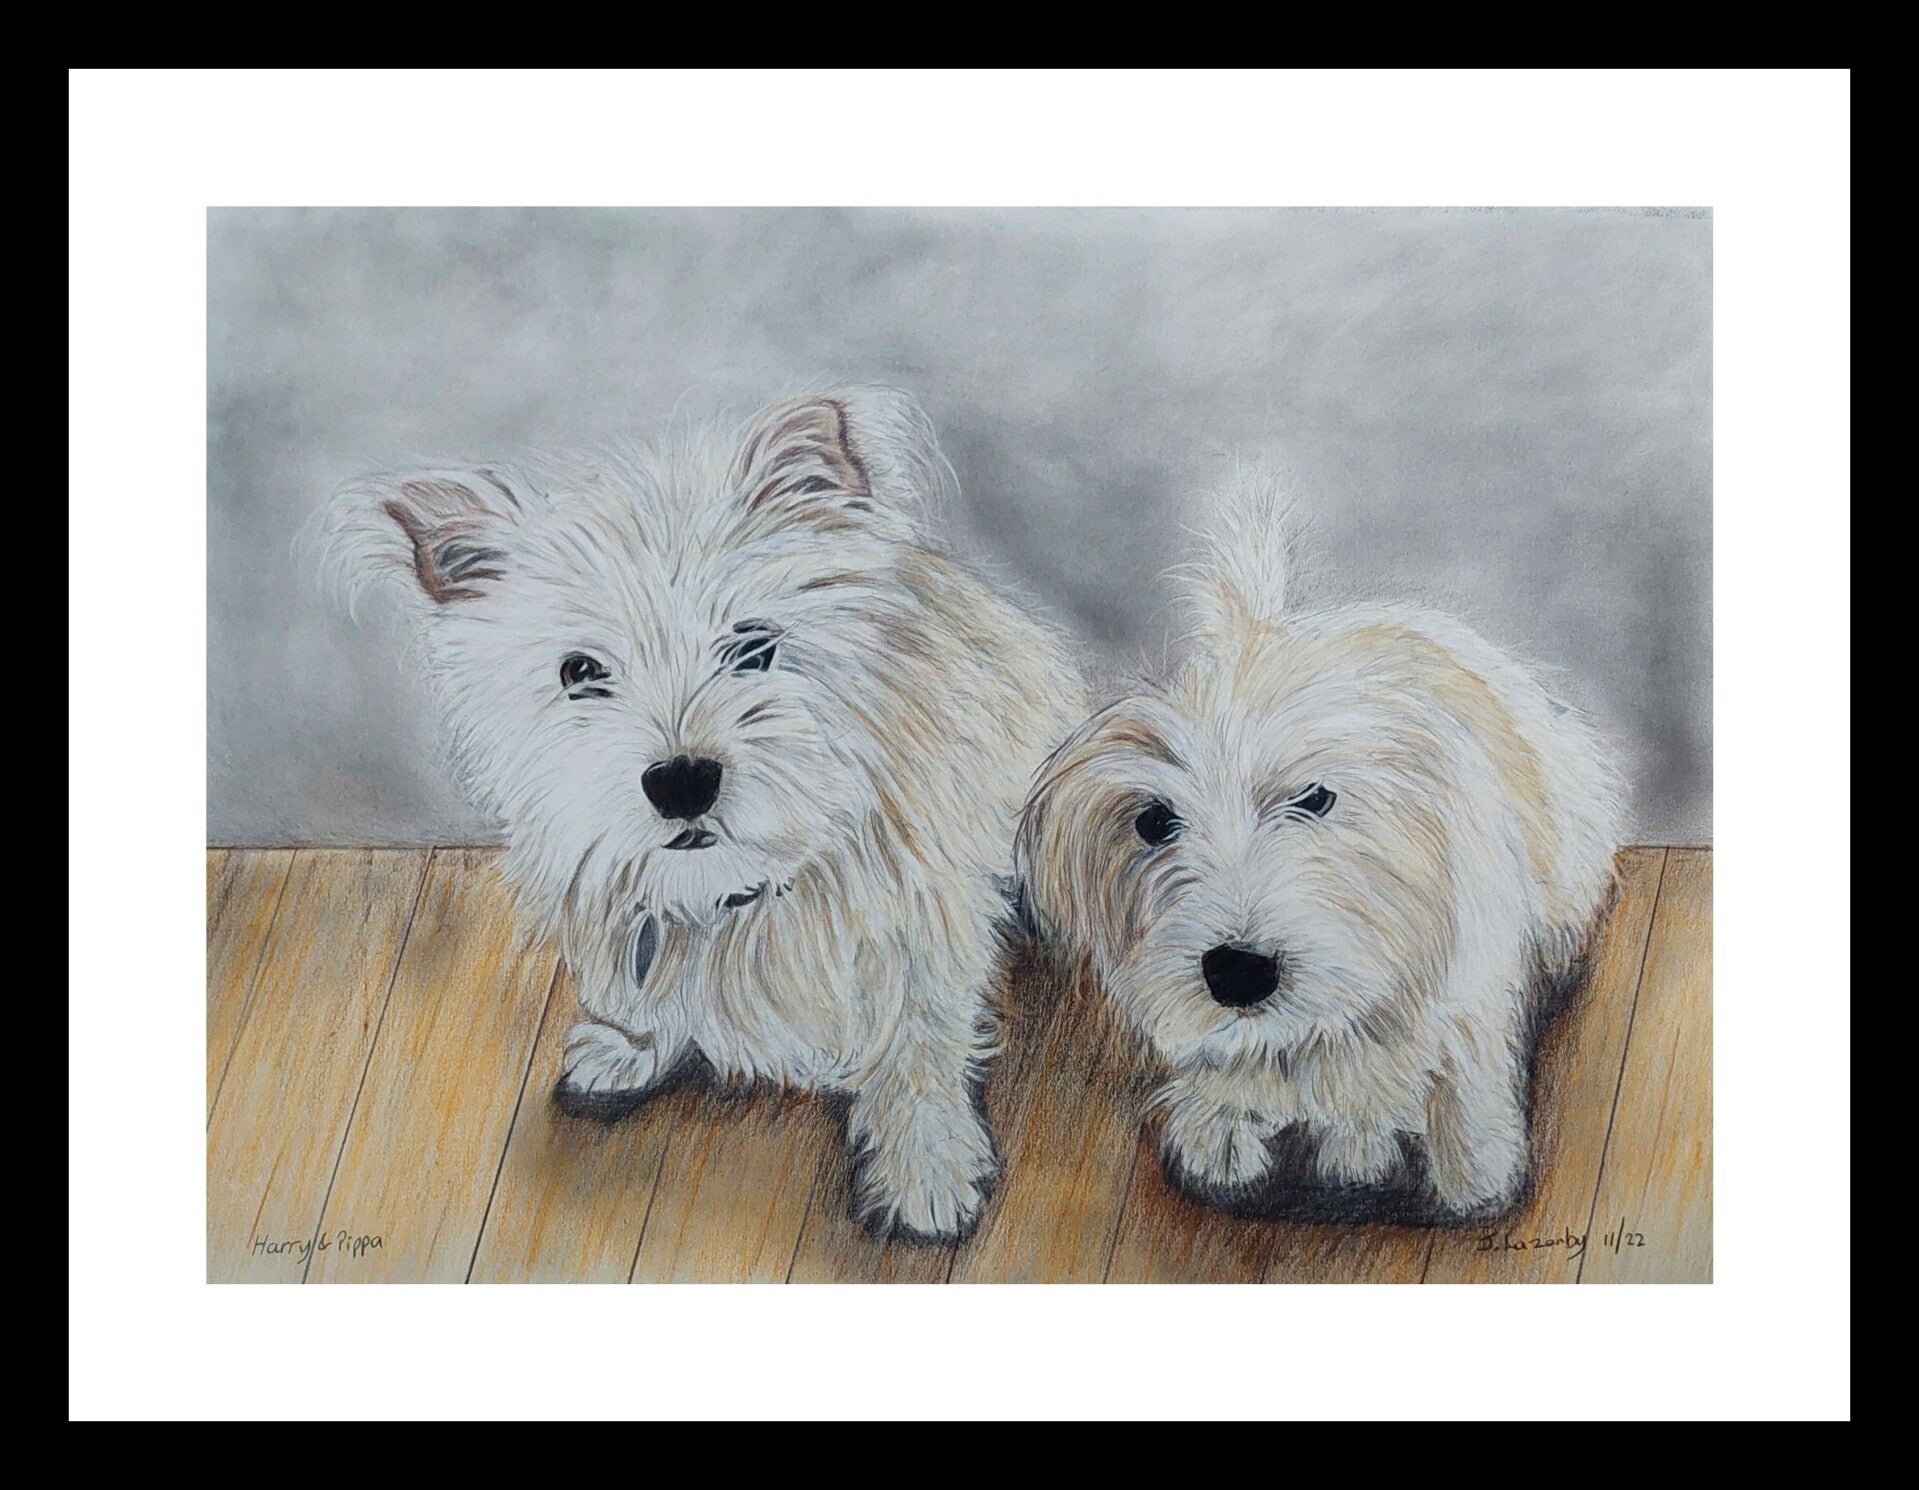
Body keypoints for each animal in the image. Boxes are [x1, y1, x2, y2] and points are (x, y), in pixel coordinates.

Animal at [315, 387, 1085, 1241]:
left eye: (752, 646)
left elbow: (918, 1048)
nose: (681, 781)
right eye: (579, 671)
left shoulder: (923, 936)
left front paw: (924, 1164)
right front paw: (630, 1048)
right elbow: (643, 993)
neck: (738, 887)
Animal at [1016, 473, 1623, 1220]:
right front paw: (1222, 1132)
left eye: (1315, 798)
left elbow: (1457, 1077)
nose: (1236, 971)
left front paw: (1470, 1169)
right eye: (1154, 822)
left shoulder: (1466, 983)